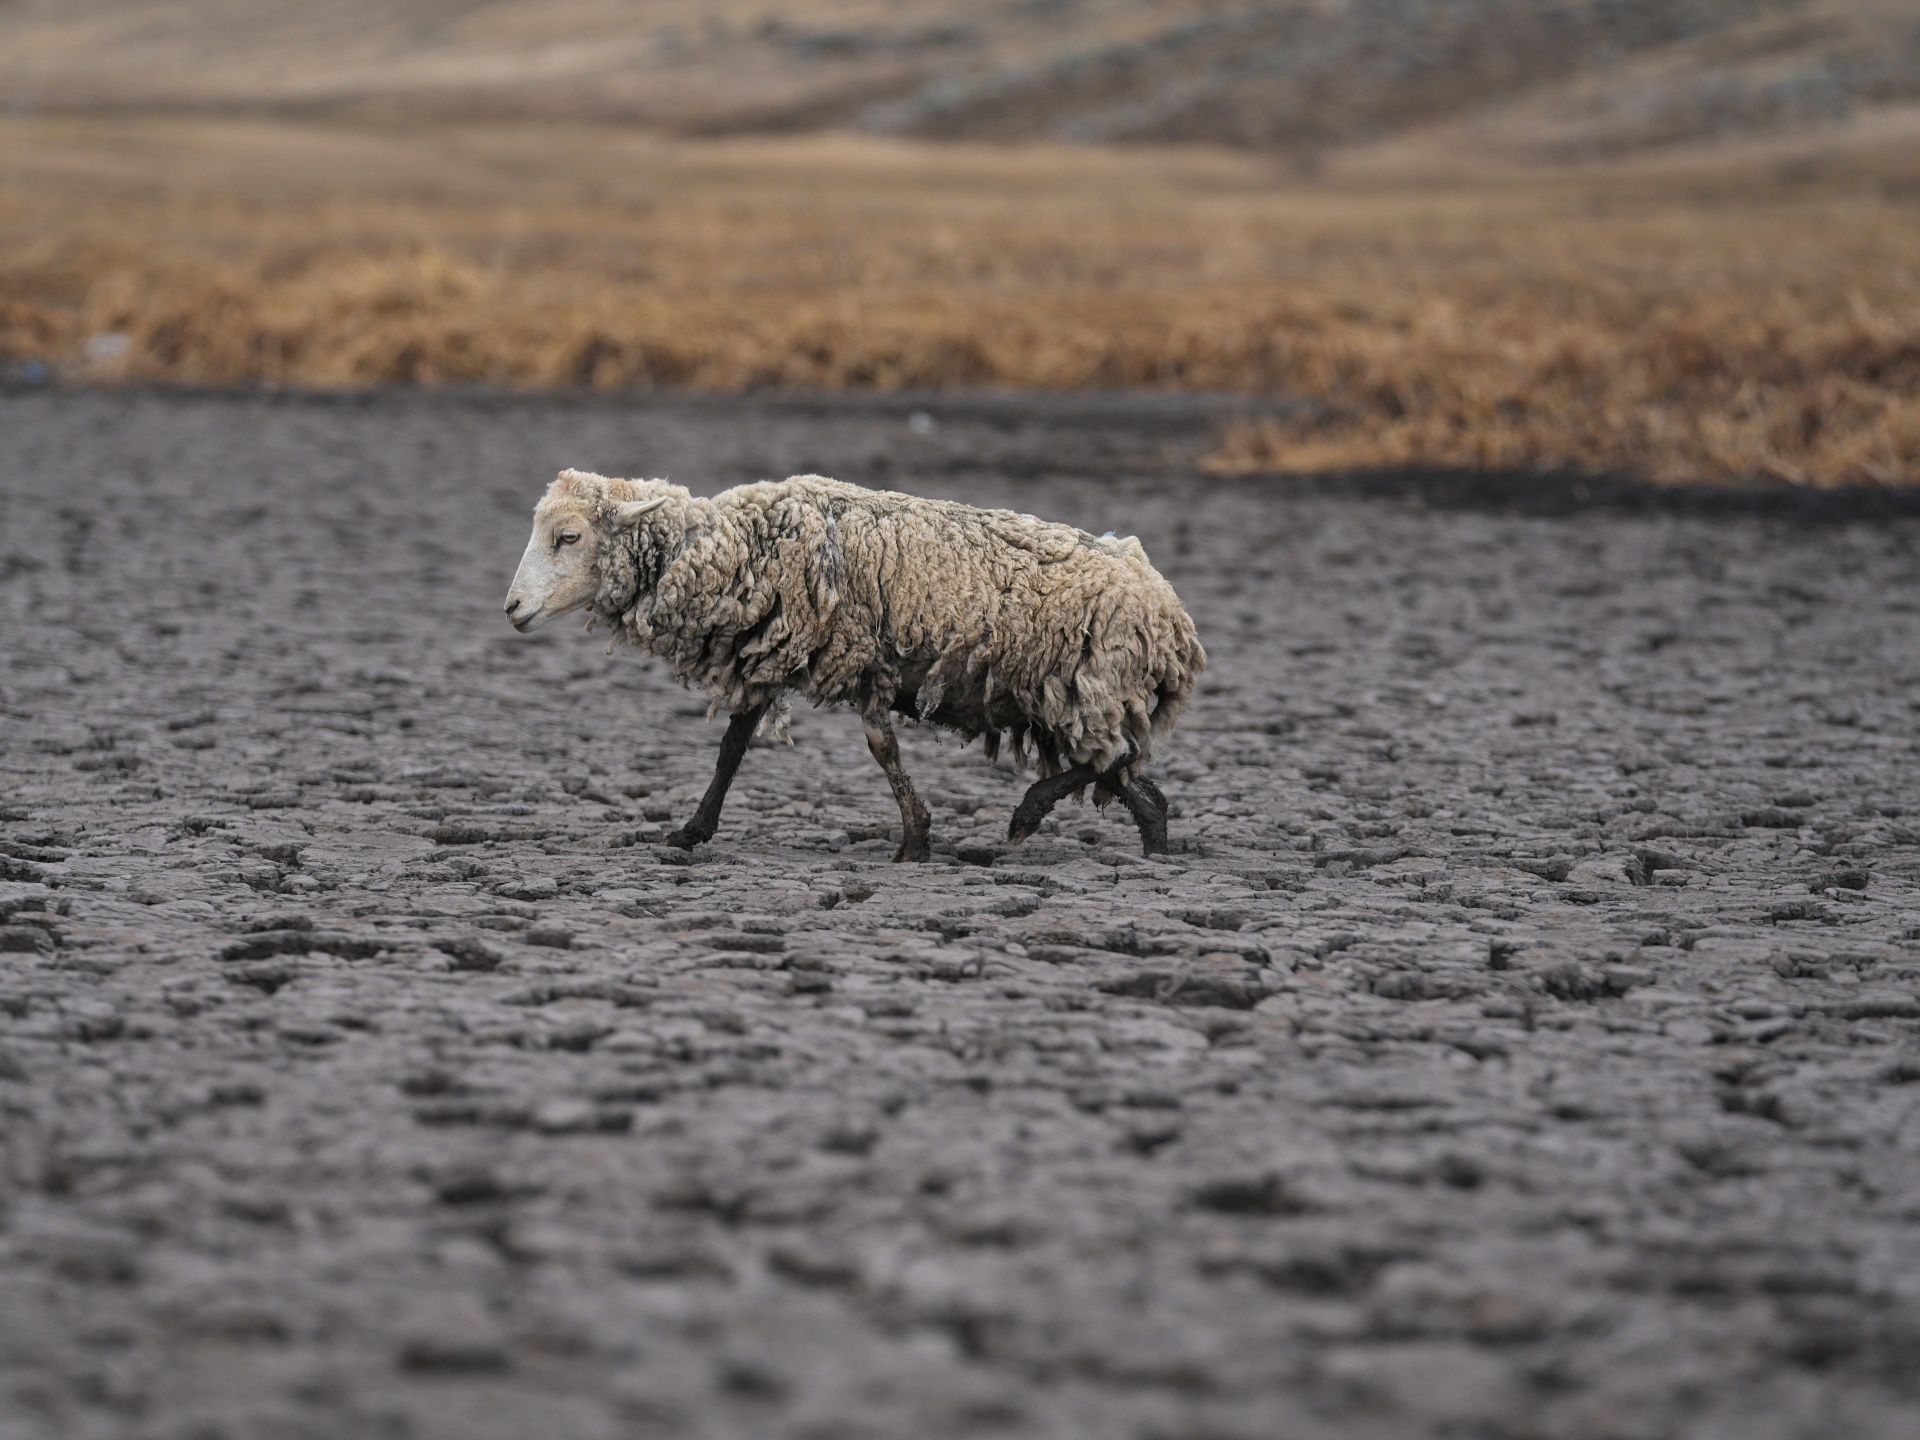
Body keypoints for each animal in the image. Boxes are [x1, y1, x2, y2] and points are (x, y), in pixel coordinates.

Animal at [506, 468, 1198, 864]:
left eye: (568, 537)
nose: (511, 608)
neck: (742, 549)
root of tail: (1169, 611)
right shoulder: (771, 653)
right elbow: (732, 749)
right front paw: (690, 832)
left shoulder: (862, 656)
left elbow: (879, 747)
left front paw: (915, 839)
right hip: (1075, 697)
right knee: (1130, 777)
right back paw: (1152, 850)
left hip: (1082, 687)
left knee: (1108, 758)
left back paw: (1028, 814)